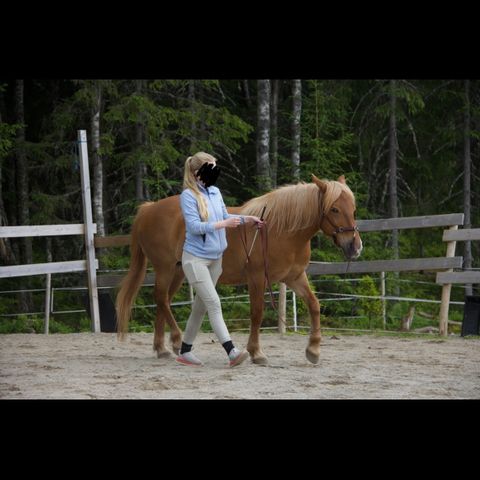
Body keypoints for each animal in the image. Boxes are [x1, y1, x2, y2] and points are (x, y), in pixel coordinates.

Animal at [116, 174, 362, 366]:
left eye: (353, 208)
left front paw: (313, 350)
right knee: (161, 299)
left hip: (178, 272)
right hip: (165, 268)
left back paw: (162, 349)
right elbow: (257, 313)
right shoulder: (257, 279)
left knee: (162, 301)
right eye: (334, 209)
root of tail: (149, 209)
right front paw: (256, 352)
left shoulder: (295, 278)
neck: (280, 231)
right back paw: (176, 341)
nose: (355, 246)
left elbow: (314, 305)